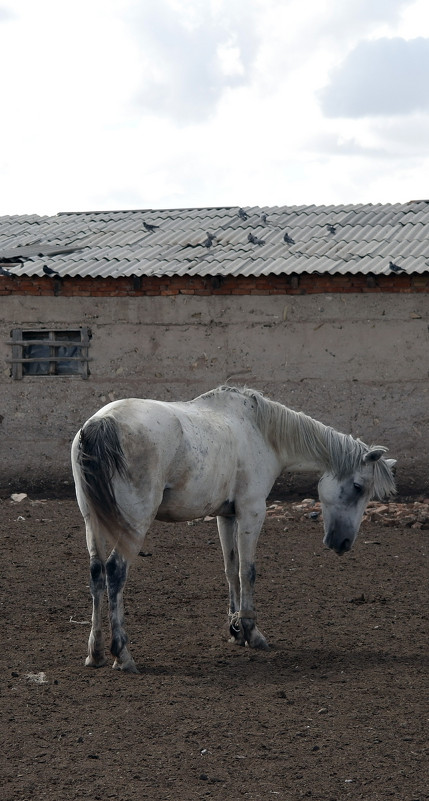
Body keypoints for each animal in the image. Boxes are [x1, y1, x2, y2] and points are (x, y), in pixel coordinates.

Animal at [69, 384, 394, 672]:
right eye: (358, 487)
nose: (343, 543)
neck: (259, 431)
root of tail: (101, 423)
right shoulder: (252, 511)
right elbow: (247, 571)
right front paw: (252, 632)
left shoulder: (226, 516)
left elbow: (231, 569)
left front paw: (236, 630)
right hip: (135, 525)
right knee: (115, 572)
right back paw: (122, 655)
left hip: (92, 521)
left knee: (97, 573)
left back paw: (95, 653)